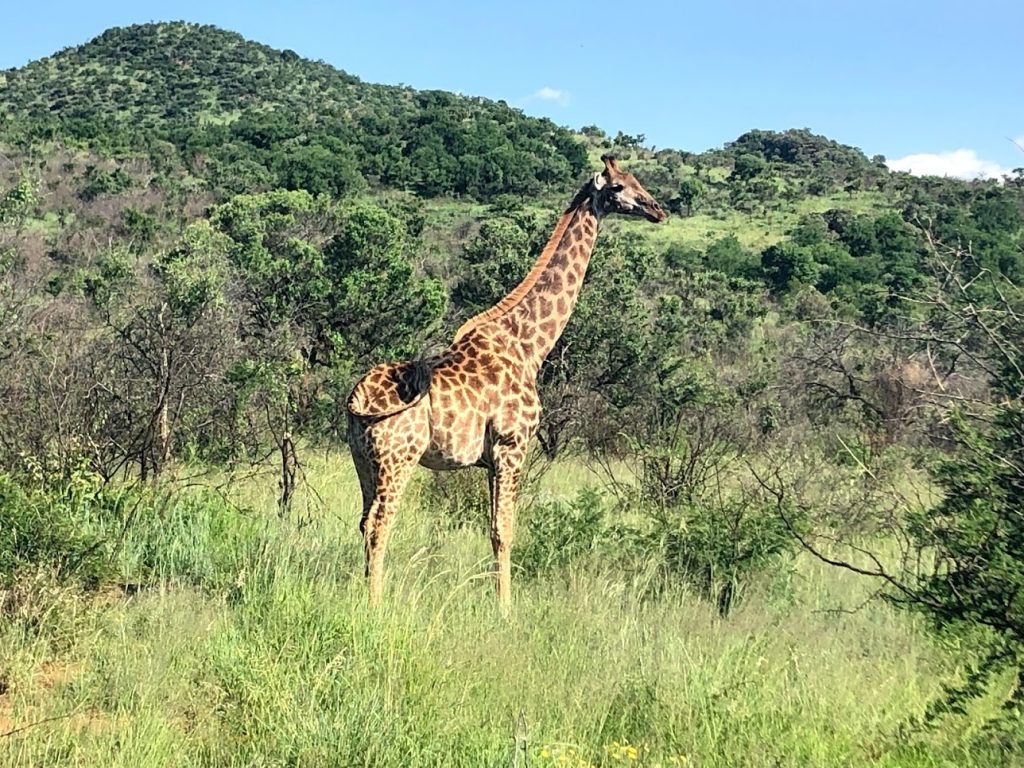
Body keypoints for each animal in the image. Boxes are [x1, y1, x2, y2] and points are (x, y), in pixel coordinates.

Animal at [346, 156, 663, 610]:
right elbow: (503, 530)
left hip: (362, 460)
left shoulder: (491, 459)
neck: (530, 345)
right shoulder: (513, 447)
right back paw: (375, 604)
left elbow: (493, 527)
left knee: (362, 521)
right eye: (619, 187)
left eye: (638, 180)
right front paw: (506, 608)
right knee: (379, 524)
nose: (657, 209)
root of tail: (355, 401)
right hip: (398, 459)